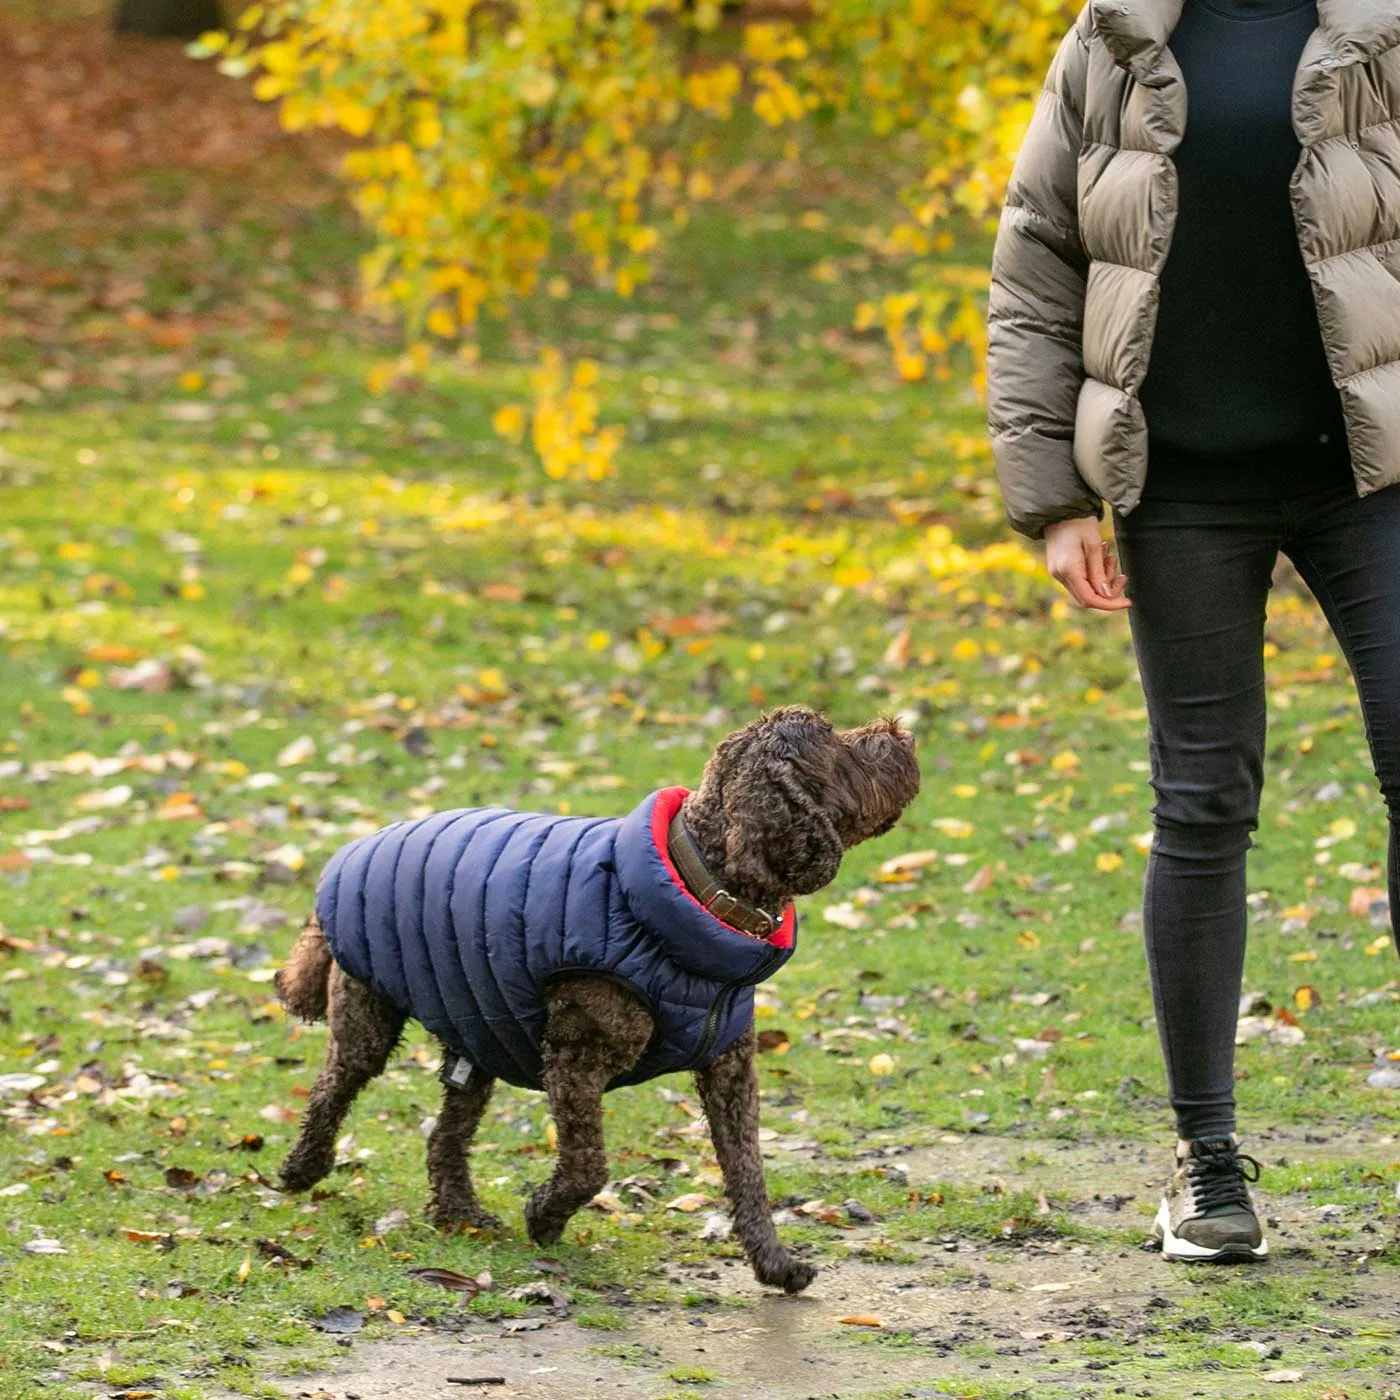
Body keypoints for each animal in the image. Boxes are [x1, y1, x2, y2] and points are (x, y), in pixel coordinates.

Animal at [278, 705, 924, 1293]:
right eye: (833, 740)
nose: (901, 729)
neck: (698, 891)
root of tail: (359, 843)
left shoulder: (731, 1070)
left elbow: (748, 1171)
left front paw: (776, 1264)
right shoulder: (575, 1058)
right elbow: (590, 1164)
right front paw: (544, 1216)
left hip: (477, 1026)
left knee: (447, 1133)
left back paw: (460, 1213)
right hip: (368, 1012)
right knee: (334, 1087)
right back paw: (301, 1169)